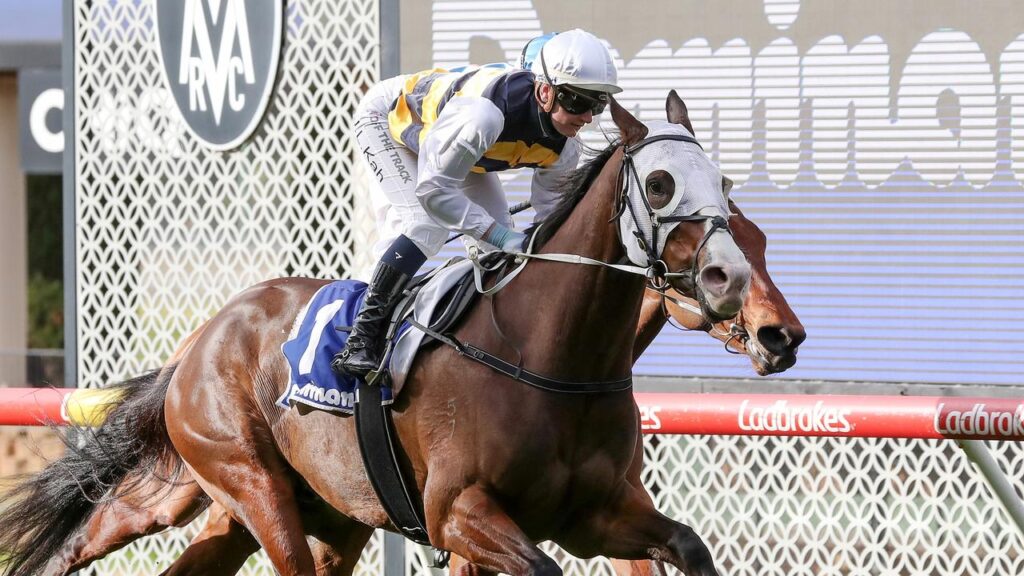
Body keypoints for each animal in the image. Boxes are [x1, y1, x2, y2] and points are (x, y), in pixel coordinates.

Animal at [2, 91, 753, 569]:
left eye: (724, 182)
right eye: (658, 184)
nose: (730, 278)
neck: (550, 358)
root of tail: (203, 338)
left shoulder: (597, 514)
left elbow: (690, 545)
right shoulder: (457, 511)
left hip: (308, 511)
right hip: (247, 484)